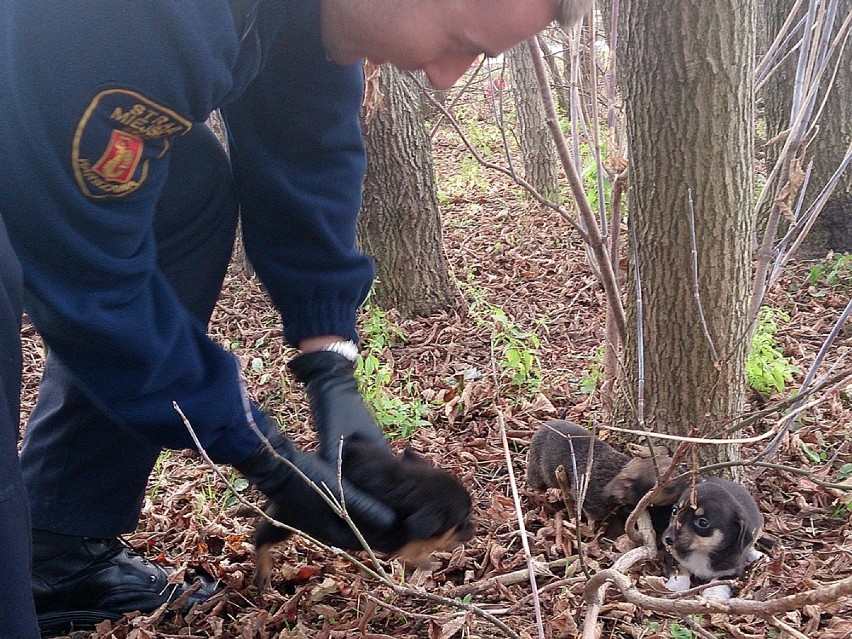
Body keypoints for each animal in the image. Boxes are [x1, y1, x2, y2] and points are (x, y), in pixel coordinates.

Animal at [253, 440, 472, 592]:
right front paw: (428, 558)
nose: (474, 529)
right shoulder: (388, 536)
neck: (407, 487)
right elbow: (412, 545)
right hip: (289, 519)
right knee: (261, 539)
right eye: (462, 520)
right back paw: (263, 571)